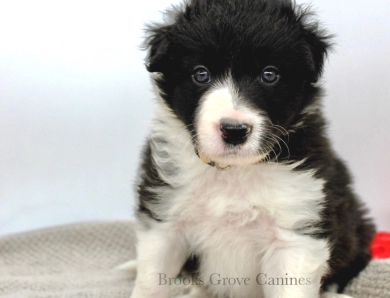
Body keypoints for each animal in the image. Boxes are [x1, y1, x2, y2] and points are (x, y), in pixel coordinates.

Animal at [129, 0, 376, 298]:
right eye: (201, 74)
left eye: (269, 74)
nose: (234, 130)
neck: (233, 171)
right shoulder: (164, 219)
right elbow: (151, 281)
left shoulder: (295, 235)